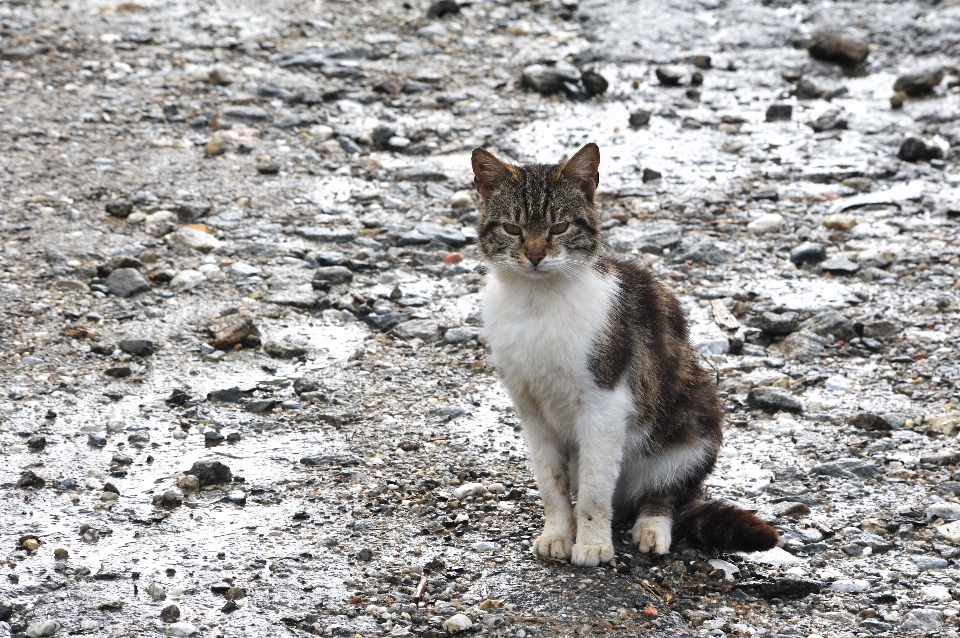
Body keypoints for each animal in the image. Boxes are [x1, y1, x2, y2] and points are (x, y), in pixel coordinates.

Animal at [472, 142, 780, 568]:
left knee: (666, 494)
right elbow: (551, 483)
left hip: (698, 415)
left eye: (559, 227)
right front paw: (558, 534)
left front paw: (592, 544)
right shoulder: (530, 408)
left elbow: (594, 488)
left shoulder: (605, 403)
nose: (534, 256)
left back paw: (651, 528)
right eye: (512, 229)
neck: (537, 305)